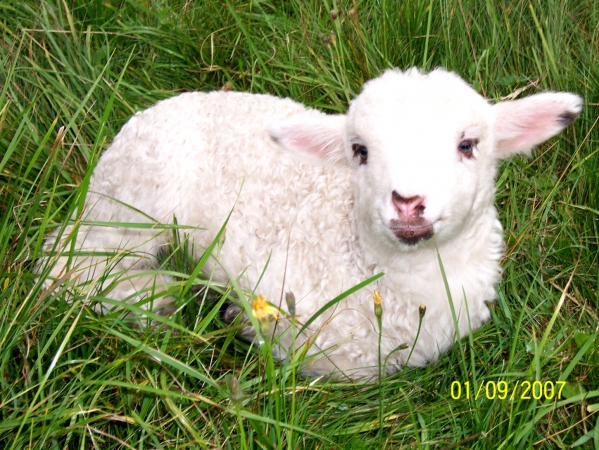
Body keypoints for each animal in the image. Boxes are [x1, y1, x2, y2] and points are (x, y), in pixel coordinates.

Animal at [39, 68, 584, 380]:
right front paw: (235, 317)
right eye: (359, 152)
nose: (407, 203)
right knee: (68, 269)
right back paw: (154, 298)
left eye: (468, 145)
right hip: (134, 201)